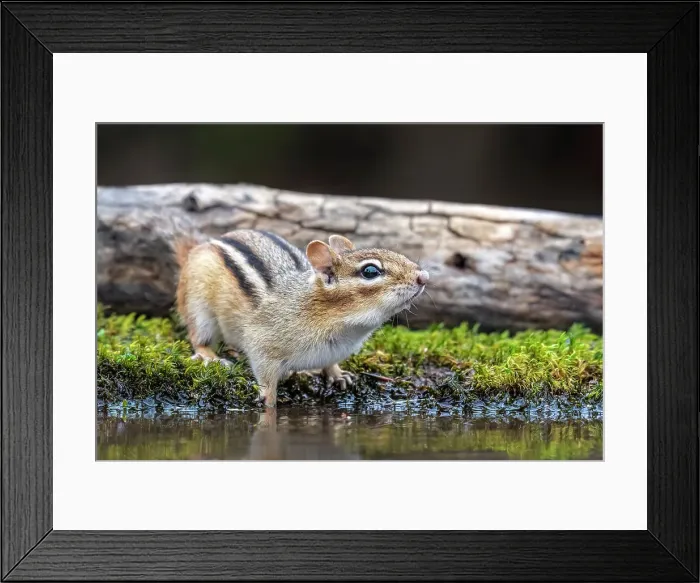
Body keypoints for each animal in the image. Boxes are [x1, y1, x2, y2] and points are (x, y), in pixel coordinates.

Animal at [173, 229, 429, 407]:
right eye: (370, 271)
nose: (424, 276)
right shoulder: (262, 343)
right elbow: (265, 377)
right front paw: (268, 398)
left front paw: (337, 374)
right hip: (198, 307)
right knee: (198, 338)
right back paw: (210, 357)